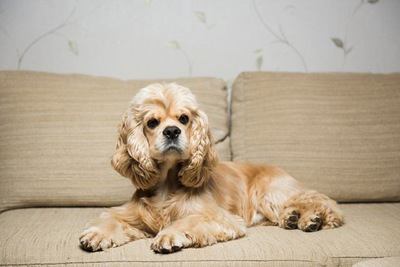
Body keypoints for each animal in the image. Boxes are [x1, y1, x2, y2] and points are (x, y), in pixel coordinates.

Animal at [79, 82, 344, 254]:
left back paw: (313, 219)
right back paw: (293, 218)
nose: (172, 131)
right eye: (152, 122)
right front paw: (97, 234)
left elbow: (187, 221)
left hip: (271, 192)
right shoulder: (131, 214)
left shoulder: (220, 217)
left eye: (184, 119)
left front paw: (168, 235)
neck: (167, 184)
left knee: (324, 203)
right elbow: (111, 218)